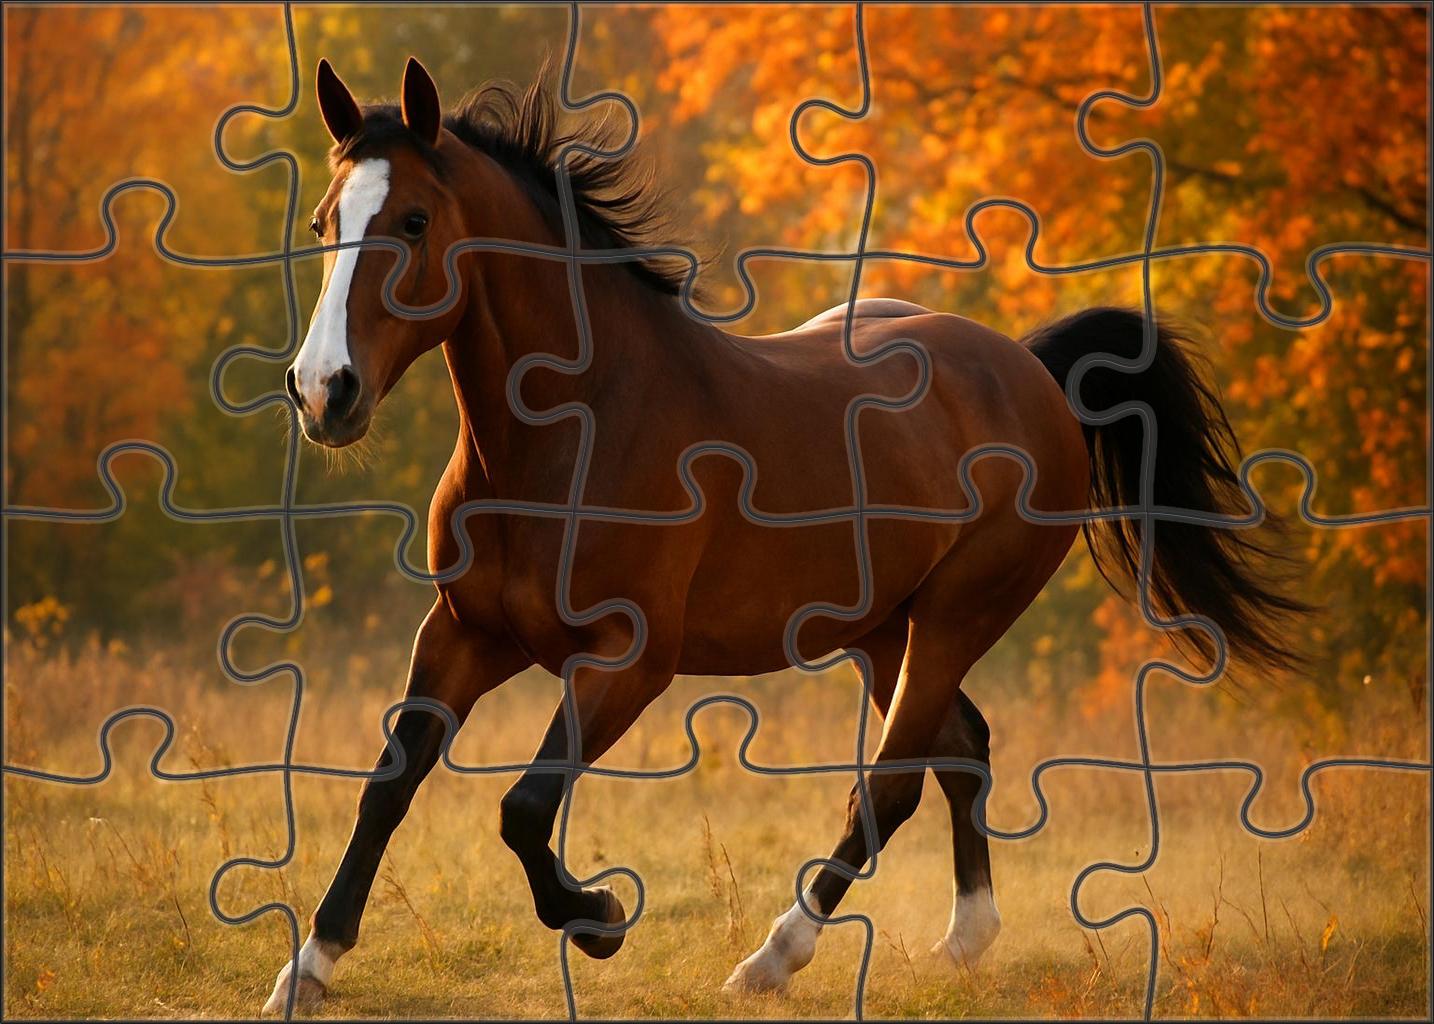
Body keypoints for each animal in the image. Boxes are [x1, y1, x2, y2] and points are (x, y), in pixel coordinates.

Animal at [264, 57, 1300, 1013]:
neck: (576, 426)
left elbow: (522, 809)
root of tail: (1031, 368)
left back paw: (773, 957)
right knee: (959, 749)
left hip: (956, 619)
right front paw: (308, 968)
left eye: (413, 222)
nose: (323, 392)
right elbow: (388, 786)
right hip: (882, 632)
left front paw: (599, 918)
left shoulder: (629, 660)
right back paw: (965, 940)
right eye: (323, 223)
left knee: (892, 783)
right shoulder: (464, 634)